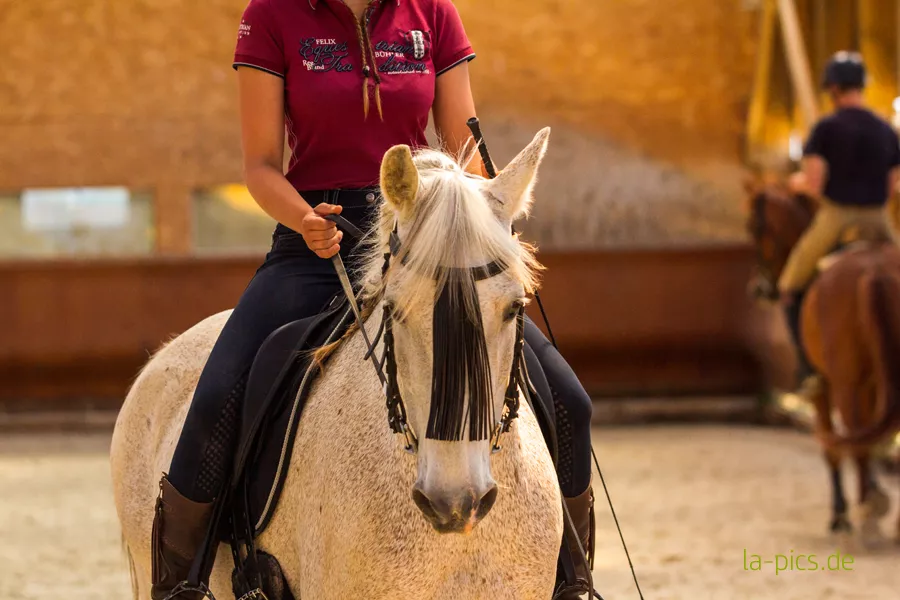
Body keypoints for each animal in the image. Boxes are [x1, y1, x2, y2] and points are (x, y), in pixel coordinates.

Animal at [748, 180, 900, 540]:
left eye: (753, 228)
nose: (760, 289)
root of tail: (874, 269)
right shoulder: (877, 382)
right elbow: (873, 435)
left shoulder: (823, 388)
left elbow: (834, 444)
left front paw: (842, 513)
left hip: (846, 383)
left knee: (854, 434)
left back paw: (866, 518)